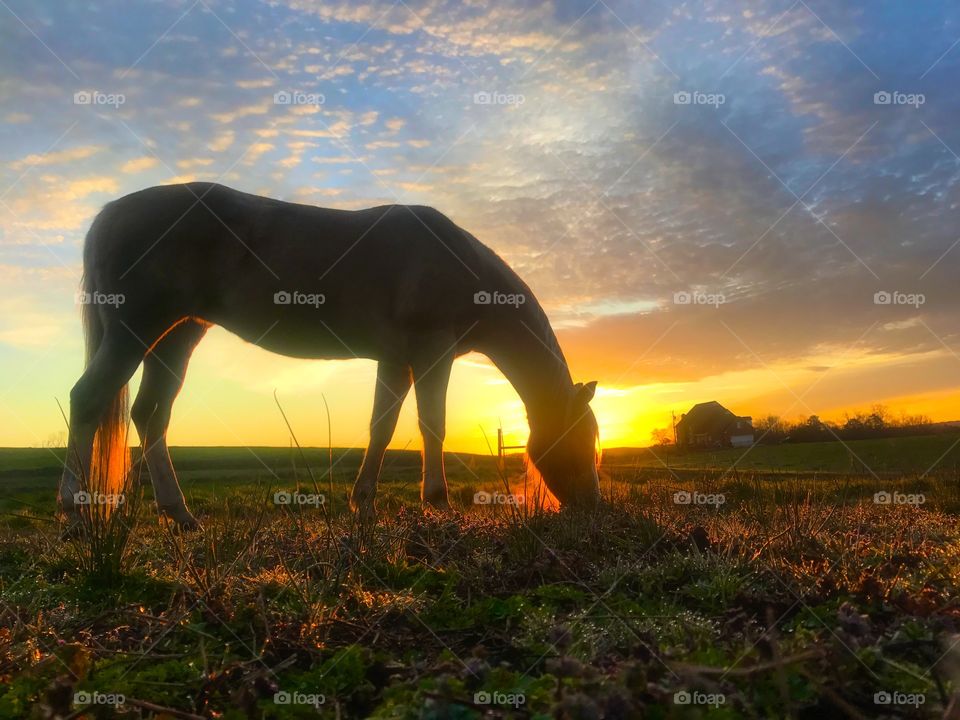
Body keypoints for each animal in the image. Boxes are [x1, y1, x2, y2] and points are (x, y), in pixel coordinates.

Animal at [56, 183, 600, 532]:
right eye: (584, 438)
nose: (592, 507)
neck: (456, 262)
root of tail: (109, 214)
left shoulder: (395, 359)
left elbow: (382, 427)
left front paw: (364, 505)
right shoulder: (432, 350)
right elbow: (433, 424)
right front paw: (439, 504)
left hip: (176, 336)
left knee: (150, 414)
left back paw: (180, 514)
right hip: (135, 332)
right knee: (88, 399)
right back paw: (74, 513)